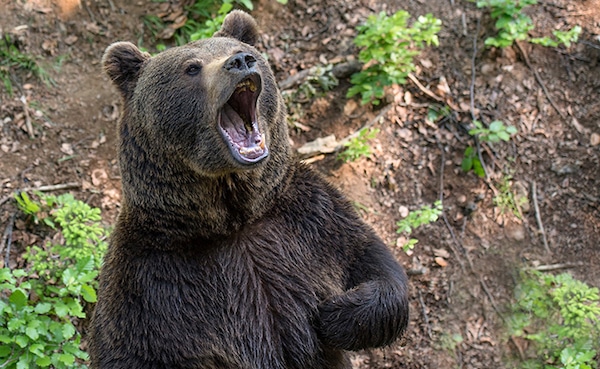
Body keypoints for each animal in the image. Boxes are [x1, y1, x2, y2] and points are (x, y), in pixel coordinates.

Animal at [88, 10, 408, 366]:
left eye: (239, 49)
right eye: (192, 67)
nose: (241, 61)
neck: (234, 219)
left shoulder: (311, 221)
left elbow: (372, 261)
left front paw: (334, 315)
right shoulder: (151, 283)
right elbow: (132, 348)